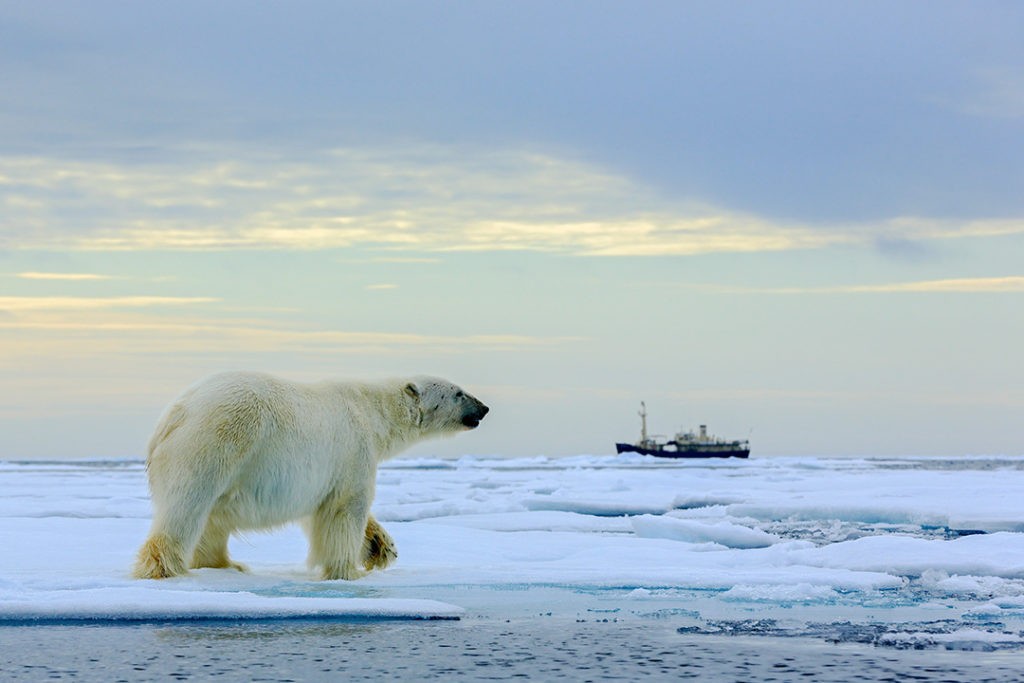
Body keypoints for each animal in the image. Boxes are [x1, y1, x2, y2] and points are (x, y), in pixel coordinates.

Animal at [133, 374, 487, 581]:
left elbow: (321, 508)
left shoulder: (318, 474)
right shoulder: (353, 449)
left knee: (212, 518)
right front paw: (347, 570)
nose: (483, 408)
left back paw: (226, 565)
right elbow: (346, 509)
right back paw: (163, 567)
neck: (374, 413)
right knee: (188, 506)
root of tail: (175, 413)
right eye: (458, 393)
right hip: (218, 439)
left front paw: (380, 547)